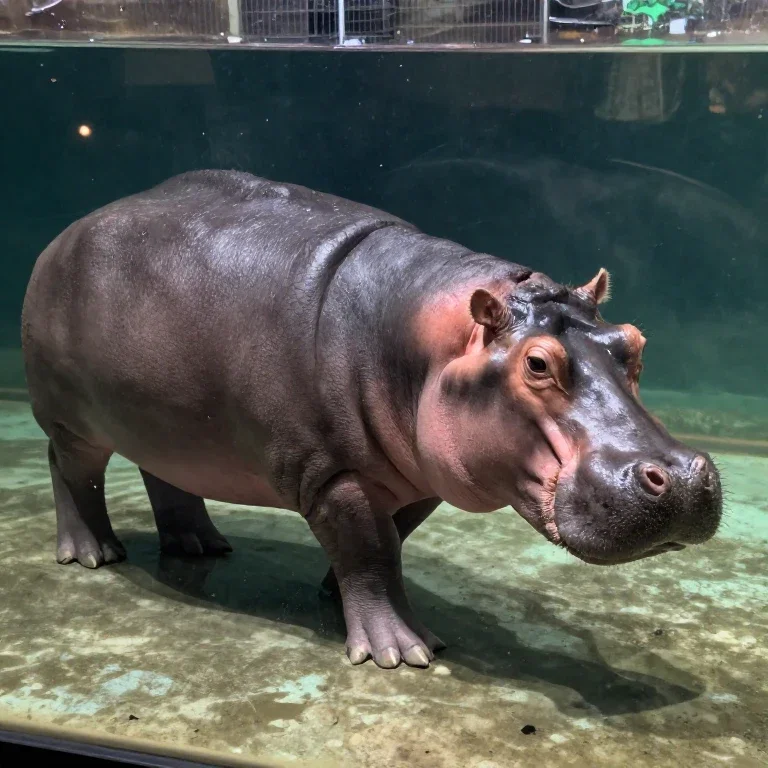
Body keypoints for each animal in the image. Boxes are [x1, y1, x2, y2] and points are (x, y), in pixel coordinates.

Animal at [22, 170, 722, 669]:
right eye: (538, 364)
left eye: (633, 342)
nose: (686, 478)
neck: (428, 339)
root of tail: (64, 233)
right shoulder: (334, 473)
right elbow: (370, 548)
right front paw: (405, 652)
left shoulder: (418, 475)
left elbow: (386, 542)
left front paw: (334, 595)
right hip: (72, 419)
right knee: (70, 471)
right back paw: (91, 554)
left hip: (168, 421)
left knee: (164, 474)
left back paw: (201, 545)